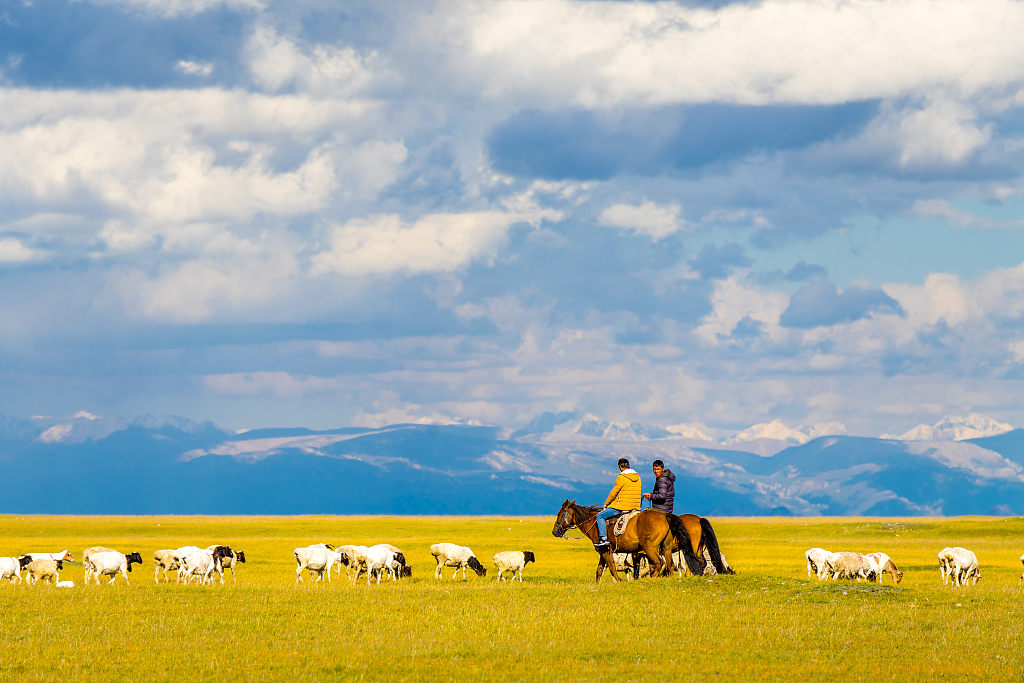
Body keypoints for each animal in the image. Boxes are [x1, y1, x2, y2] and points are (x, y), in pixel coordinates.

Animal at [552, 499, 737, 585]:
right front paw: (598, 585)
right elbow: (599, 571)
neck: (594, 523)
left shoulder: (606, 550)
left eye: (560, 514)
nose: (555, 531)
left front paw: (619, 582)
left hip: (654, 547)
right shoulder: (607, 553)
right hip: (673, 548)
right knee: (676, 565)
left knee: (664, 563)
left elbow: (612, 568)